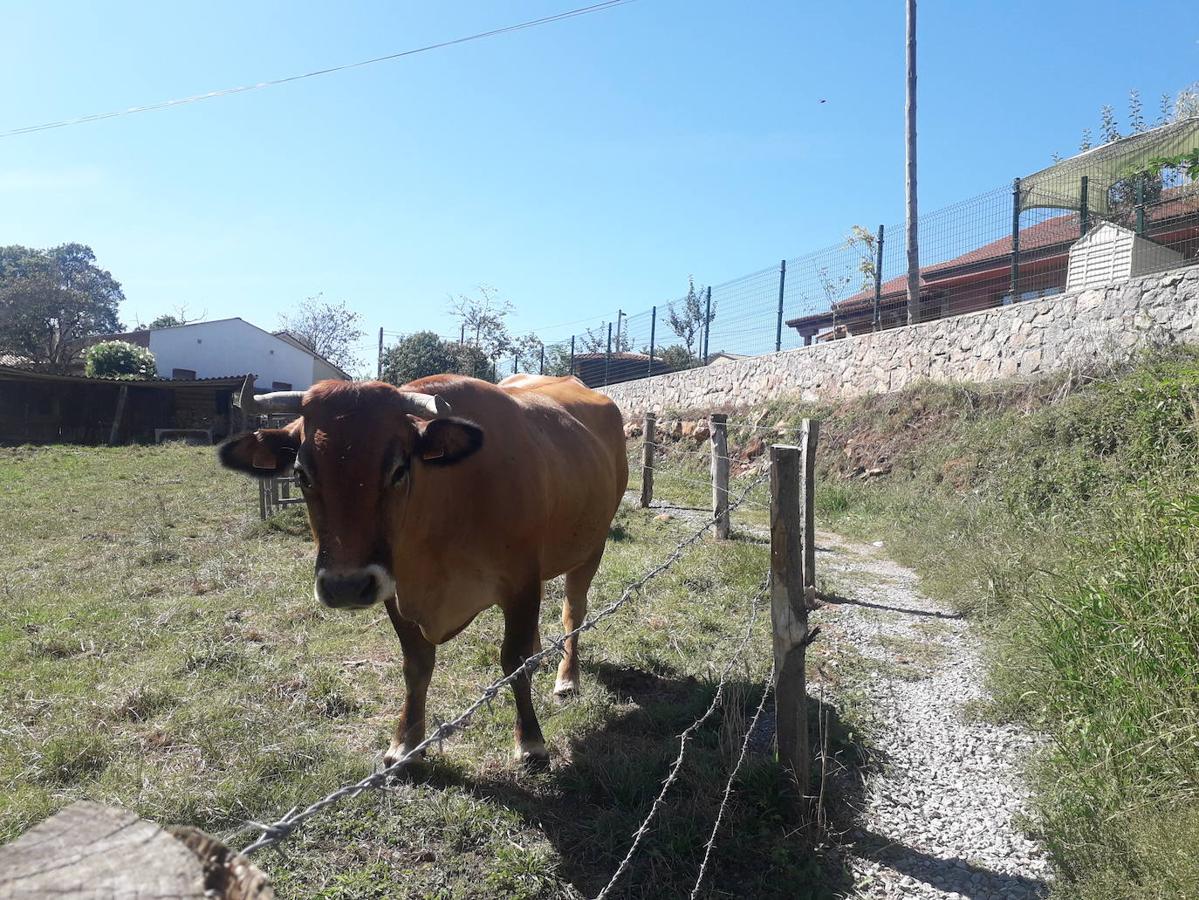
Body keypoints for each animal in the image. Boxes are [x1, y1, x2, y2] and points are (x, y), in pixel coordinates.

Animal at [218, 373, 628, 766]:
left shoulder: (521, 583)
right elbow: (416, 665)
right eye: (302, 474)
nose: (346, 586)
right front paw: (405, 744)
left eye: (399, 470)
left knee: (573, 612)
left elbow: (512, 658)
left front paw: (530, 743)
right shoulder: (395, 589)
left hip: (592, 547)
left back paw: (567, 677)